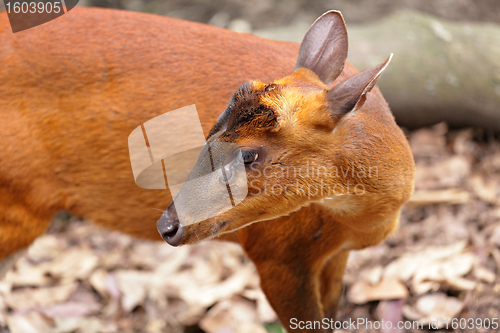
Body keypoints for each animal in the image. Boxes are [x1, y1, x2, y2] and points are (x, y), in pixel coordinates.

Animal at [0, 6, 414, 330]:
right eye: (210, 131)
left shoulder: (334, 256)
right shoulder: (278, 254)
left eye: (247, 156)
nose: (167, 226)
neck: (360, 223)